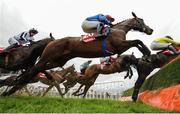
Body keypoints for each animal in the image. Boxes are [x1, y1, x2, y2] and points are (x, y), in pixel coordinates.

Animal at [2, 12, 153, 96]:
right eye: (141, 21)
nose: (150, 30)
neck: (119, 29)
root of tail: (52, 41)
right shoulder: (119, 46)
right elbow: (137, 41)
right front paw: (147, 52)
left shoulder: (120, 48)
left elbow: (137, 42)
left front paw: (146, 54)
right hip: (46, 57)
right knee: (32, 69)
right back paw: (11, 88)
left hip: (58, 61)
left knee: (36, 70)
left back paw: (11, 89)